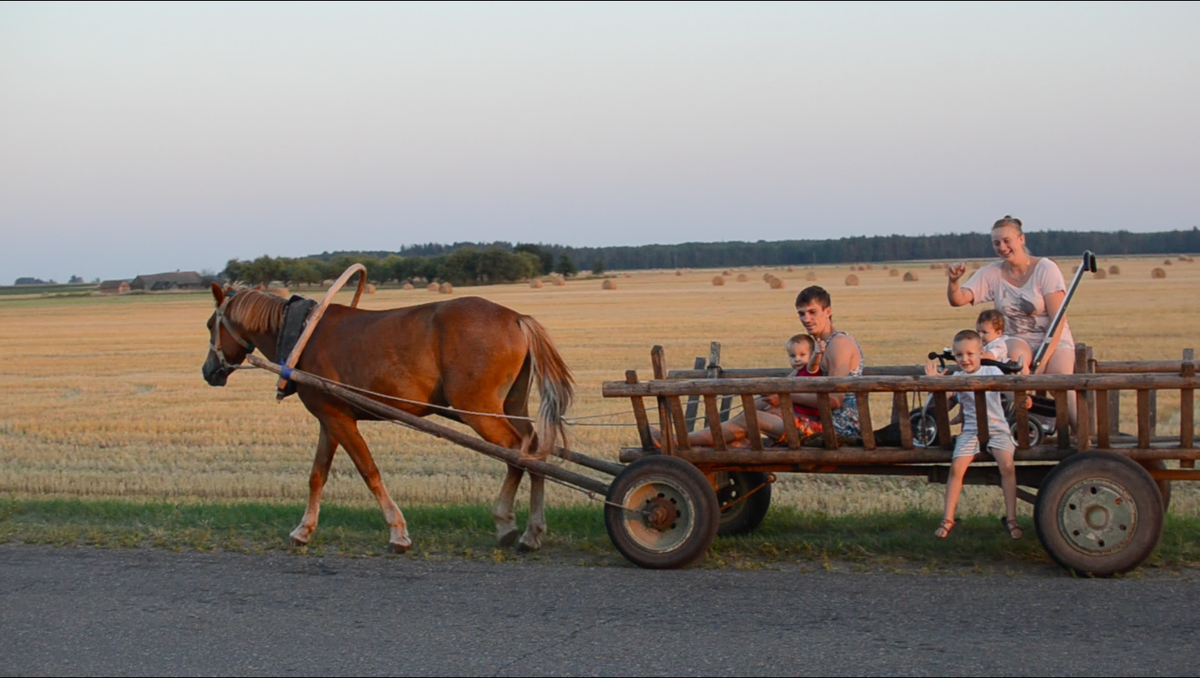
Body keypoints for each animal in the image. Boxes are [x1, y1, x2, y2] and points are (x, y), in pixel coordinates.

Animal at [202, 283, 576, 552]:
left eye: (210, 324)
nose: (208, 371)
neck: (303, 336)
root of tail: (517, 317)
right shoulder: (330, 419)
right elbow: (317, 475)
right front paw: (304, 530)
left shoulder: (338, 419)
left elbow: (369, 471)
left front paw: (398, 532)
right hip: (511, 405)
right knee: (536, 449)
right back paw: (532, 532)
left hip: (480, 410)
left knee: (517, 451)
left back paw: (507, 523)